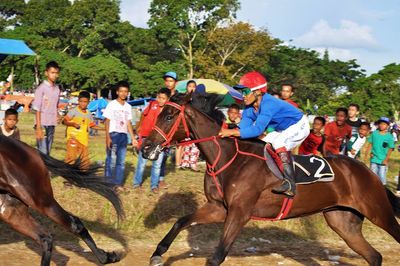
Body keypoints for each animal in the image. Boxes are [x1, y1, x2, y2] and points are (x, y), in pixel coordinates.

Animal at [0, 136, 123, 264]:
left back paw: (106, 257)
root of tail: (32, 151)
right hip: (10, 210)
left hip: (40, 200)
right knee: (45, 238)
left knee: (73, 225)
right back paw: (106, 257)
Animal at [142, 94, 400, 266]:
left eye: (169, 115)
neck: (227, 157)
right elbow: (180, 222)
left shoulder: (240, 213)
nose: (145, 147)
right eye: (159, 112)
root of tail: (369, 172)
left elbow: (217, 256)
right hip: (342, 221)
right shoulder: (218, 208)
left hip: (378, 212)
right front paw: (157, 254)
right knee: (374, 256)